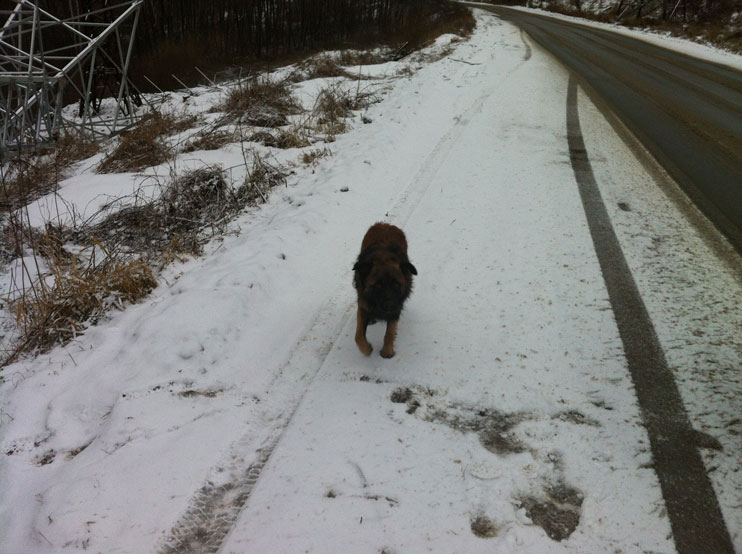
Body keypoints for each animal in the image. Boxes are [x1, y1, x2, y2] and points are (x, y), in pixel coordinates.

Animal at [353, 222, 417, 358]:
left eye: (396, 284)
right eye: (378, 285)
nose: (389, 305)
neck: (384, 258)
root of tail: (385, 224)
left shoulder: (396, 309)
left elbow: (390, 333)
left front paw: (387, 352)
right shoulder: (363, 305)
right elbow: (358, 336)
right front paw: (367, 349)